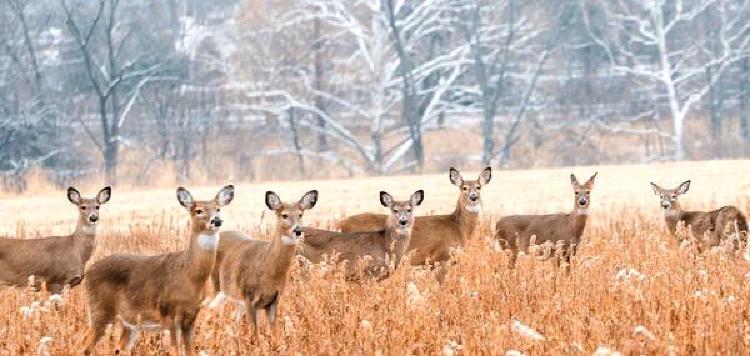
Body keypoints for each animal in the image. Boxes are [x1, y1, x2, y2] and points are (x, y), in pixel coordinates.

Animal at [78, 185, 234, 354]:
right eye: (198, 210)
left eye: (218, 208)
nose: (216, 220)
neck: (190, 275)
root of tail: (88, 272)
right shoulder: (170, 314)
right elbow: (175, 351)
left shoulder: (191, 317)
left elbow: (190, 352)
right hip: (99, 311)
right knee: (82, 347)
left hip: (130, 322)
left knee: (118, 348)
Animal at [209, 189, 320, 340]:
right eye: (284, 215)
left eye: (300, 214)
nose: (297, 230)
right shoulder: (249, 298)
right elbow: (255, 335)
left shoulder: (274, 301)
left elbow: (275, 333)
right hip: (218, 285)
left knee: (234, 318)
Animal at [340, 168, 494, 284]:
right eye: (464, 188)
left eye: (478, 187)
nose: (473, 197)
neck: (458, 227)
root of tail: (340, 223)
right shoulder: (442, 258)